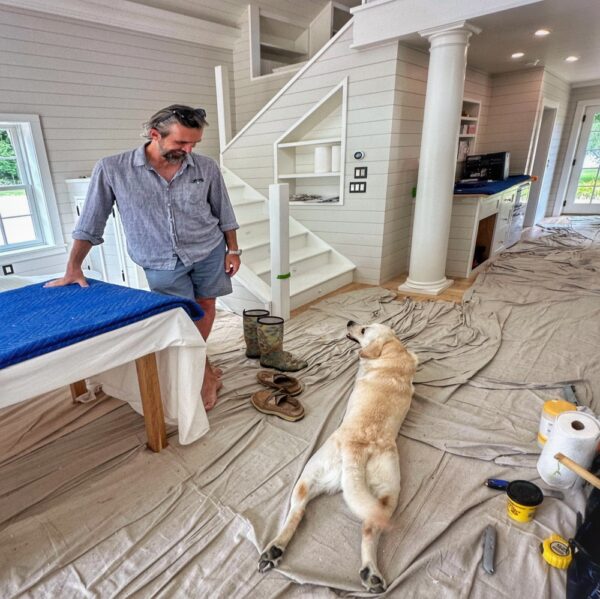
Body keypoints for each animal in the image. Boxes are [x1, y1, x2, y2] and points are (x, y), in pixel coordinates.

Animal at [258, 322, 418, 592]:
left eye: (364, 330)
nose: (350, 322)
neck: (390, 354)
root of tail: (357, 449)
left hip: (309, 474)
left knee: (297, 511)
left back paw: (275, 549)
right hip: (388, 495)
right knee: (369, 529)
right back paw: (371, 573)